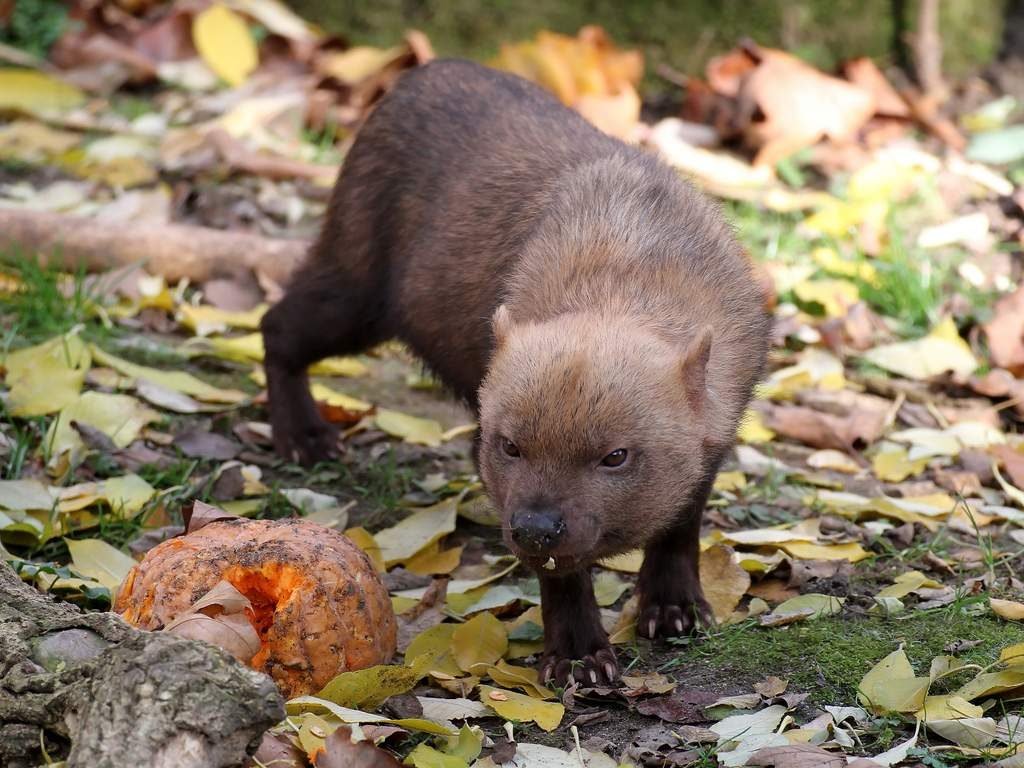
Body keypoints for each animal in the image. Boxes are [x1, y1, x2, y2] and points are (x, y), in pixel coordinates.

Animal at [262, 60, 770, 684]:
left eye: (616, 456)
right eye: (510, 445)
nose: (533, 526)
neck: (626, 271)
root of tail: (419, 72)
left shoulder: (719, 427)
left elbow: (681, 523)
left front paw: (676, 610)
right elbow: (562, 572)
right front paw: (579, 656)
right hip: (354, 291)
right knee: (275, 326)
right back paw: (304, 436)